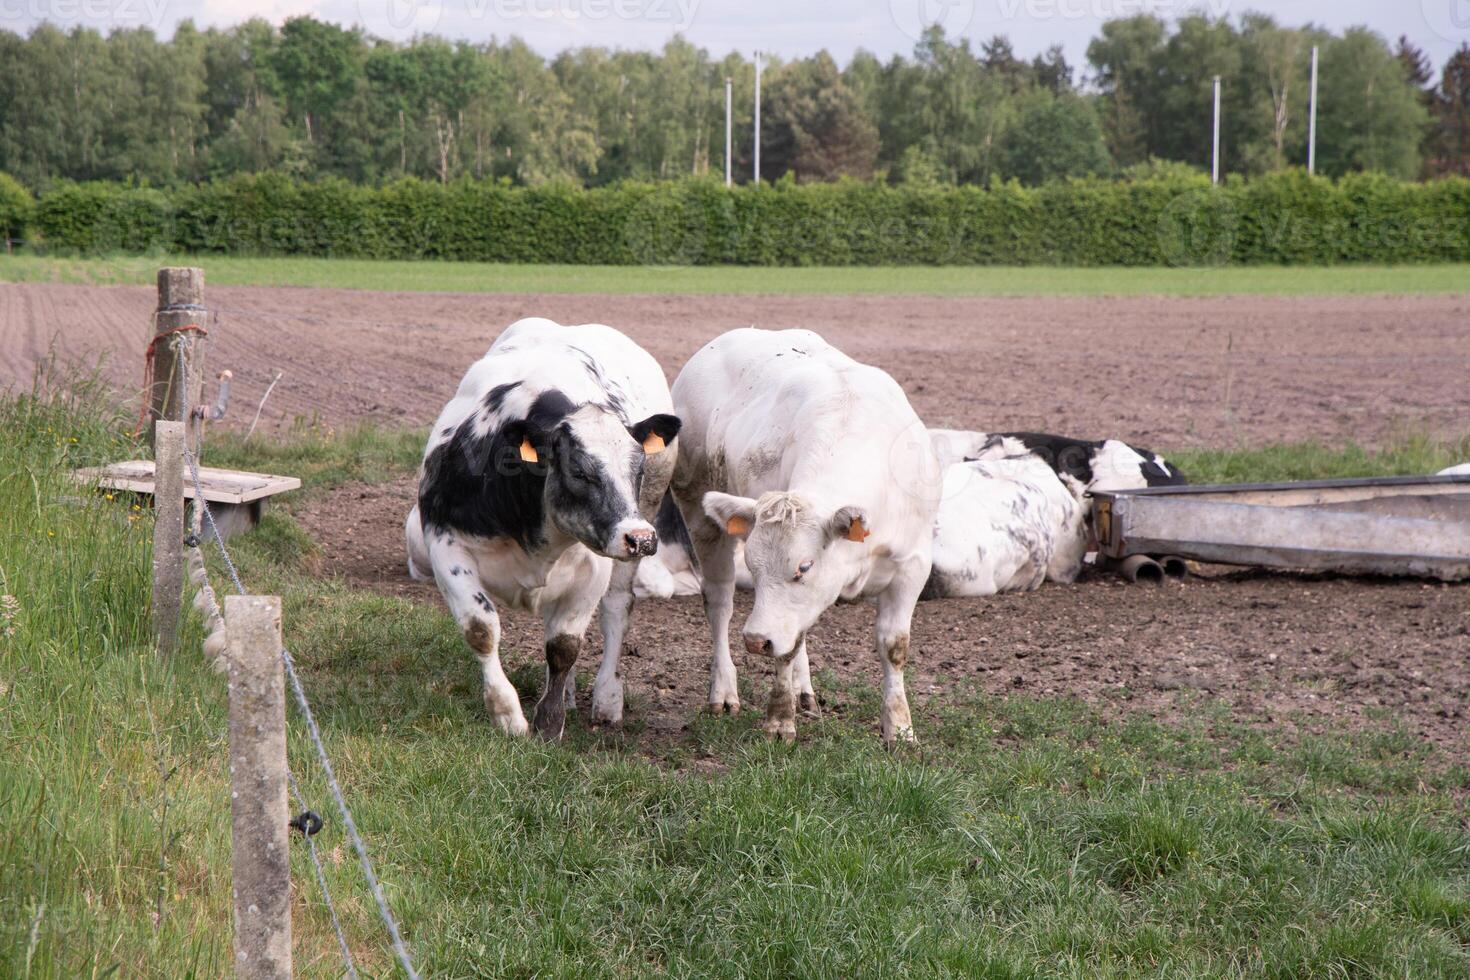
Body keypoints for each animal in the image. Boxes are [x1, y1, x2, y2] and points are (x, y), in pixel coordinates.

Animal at [402, 318, 676, 740]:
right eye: (579, 471)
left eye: (639, 467)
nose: (641, 538)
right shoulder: (445, 544)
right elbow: (481, 629)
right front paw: (508, 715)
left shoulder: (593, 564)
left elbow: (564, 646)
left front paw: (549, 722)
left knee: (616, 608)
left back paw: (606, 698)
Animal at [670, 327, 934, 743]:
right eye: (753, 568)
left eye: (804, 567)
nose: (755, 640)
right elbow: (786, 649)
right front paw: (780, 721)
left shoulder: (914, 564)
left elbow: (894, 646)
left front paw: (900, 729)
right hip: (697, 510)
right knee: (719, 603)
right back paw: (724, 691)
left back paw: (803, 691)